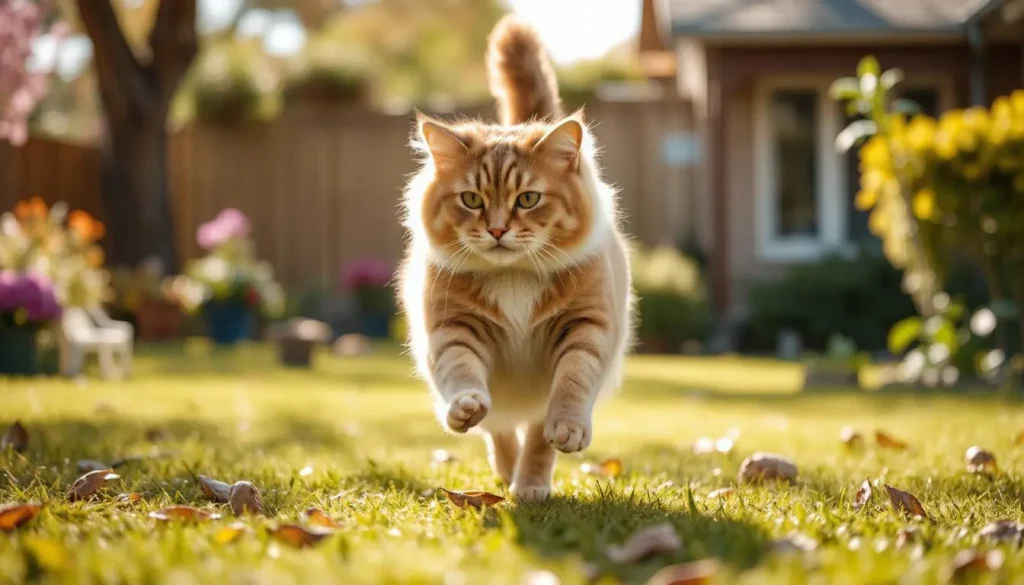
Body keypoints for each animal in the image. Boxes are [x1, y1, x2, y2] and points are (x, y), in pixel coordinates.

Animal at [397, 16, 630, 502]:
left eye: (528, 199)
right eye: (471, 199)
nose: (498, 229)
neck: (515, 277)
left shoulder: (587, 328)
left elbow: (570, 389)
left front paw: (564, 435)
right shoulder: (453, 328)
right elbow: (462, 373)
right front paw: (464, 408)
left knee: (534, 434)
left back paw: (529, 484)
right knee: (500, 429)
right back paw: (506, 470)